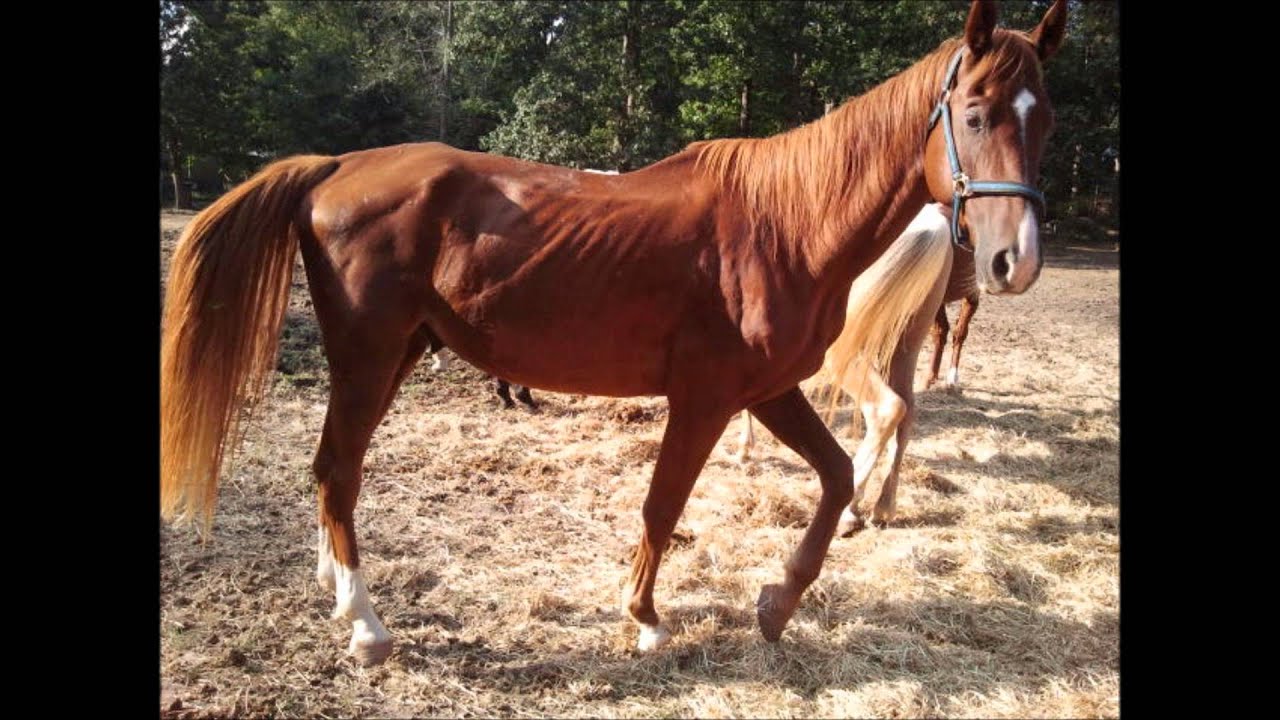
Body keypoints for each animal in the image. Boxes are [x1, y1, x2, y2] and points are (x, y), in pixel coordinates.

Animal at [160, 0, 1067, 666]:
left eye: (1045, 120)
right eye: (975, 115)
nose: (1013, 261)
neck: (785, 223)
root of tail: (336, 168)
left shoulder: (769, 392)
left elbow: (837, 476)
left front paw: (776, 603)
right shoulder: (705, 400)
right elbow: (662, 505)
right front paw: (645, 619)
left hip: (396, 355)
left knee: (329, 474)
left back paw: (331, 586)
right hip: (367, 356)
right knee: (339, 473)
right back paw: (364, 625)